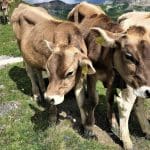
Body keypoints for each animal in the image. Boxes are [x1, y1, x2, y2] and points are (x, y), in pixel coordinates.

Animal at [10, 3, 96, 135]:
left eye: (70, 73)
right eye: (49, 70)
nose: (48, 97)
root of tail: (22, 5)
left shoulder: (80, 76)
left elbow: (81, 101)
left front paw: (86, 126)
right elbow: (54, 104)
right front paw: (52, 117)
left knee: (38, 72)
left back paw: (42, 89)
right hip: (22, 50)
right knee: (31, 74)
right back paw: (37, 95)